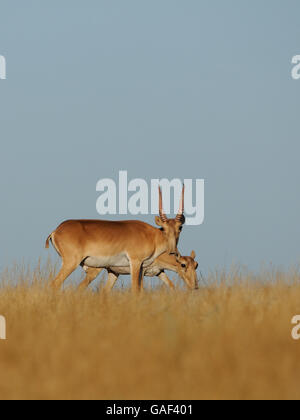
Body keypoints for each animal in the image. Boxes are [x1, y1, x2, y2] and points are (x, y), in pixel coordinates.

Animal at [45, 187, 185, 292]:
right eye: (164, 228)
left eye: (180, 227)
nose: (173, 252)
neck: (151, 235)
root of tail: (56, 230)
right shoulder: (135, 262)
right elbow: (135, 290)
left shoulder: (141, 267)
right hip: (70, 263)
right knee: (54, 284)